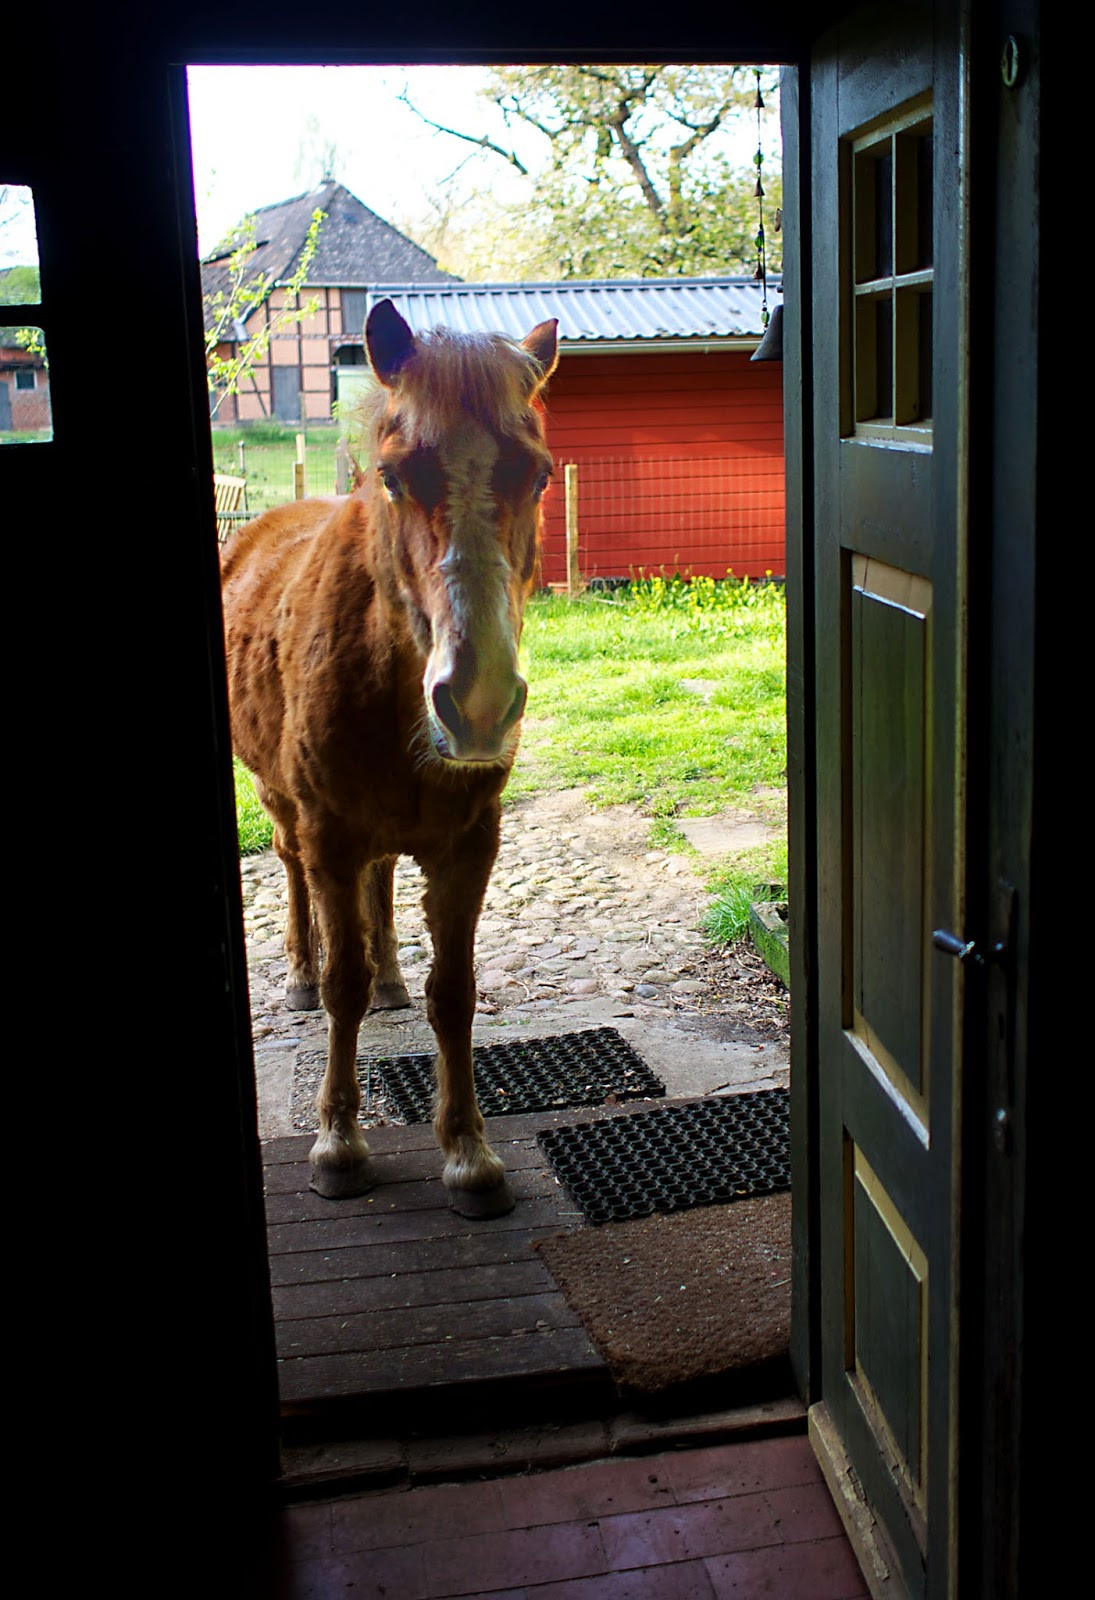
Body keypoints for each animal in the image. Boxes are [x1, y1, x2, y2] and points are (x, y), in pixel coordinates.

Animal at [225, 300, 560, 1209]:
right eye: (393, 476)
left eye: (537, 476)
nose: (477, 700)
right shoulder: (330, 833)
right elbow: (339, 985)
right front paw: (338, 1143)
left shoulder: (470, 843)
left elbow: (456, 993)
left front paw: (468, 1152)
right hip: (284, 809)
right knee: (293, 875)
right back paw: (301, 976)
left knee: (379, 892)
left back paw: (389, 981)